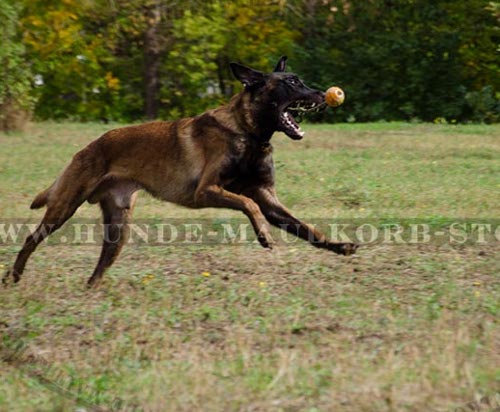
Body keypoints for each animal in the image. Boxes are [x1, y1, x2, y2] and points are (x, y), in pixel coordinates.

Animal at [2, 55, 356, 286]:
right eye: (292, 83)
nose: (323, 94)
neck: (248, 132)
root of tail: (88, 147)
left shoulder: (270, 200)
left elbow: (306, 228)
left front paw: (339, 246)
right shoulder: (208, 191)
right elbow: (248, 205)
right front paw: (264, 235)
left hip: (118, 227)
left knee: (99, 266)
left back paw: (91, 291)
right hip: (64, 206)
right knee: (31, 239)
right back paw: (13, 276)